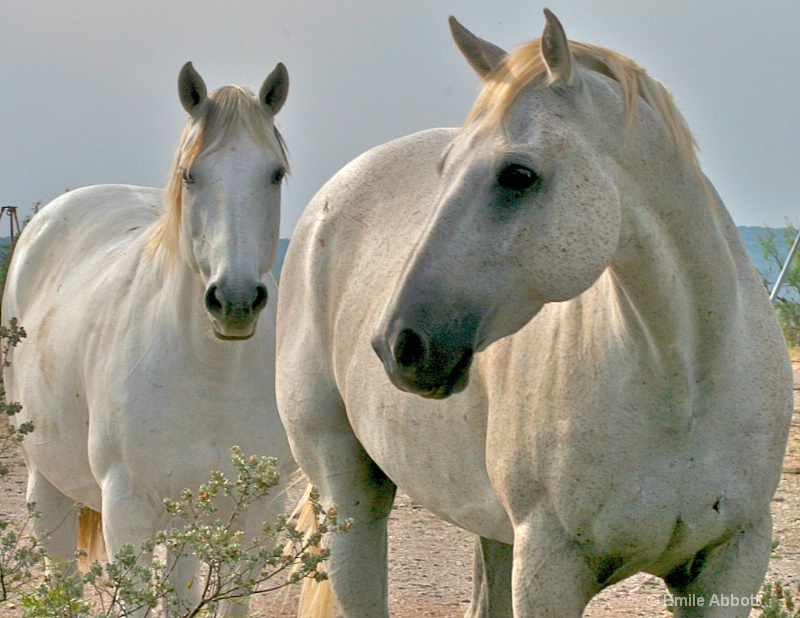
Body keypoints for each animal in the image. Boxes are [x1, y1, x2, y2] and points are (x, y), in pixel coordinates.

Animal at [2, 60, 294, 612]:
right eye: (190, 175)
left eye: (275, 173)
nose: (235, 301)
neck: (212, 374)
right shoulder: (128, 512)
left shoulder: (257, 517)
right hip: (46, 488)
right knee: (61, 582)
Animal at [276, 9, 792, 616]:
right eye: (444, 170)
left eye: (517, 175)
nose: (398, 344)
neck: (683, 385)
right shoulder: (550, 567)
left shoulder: (732, 560)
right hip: (353, 499)